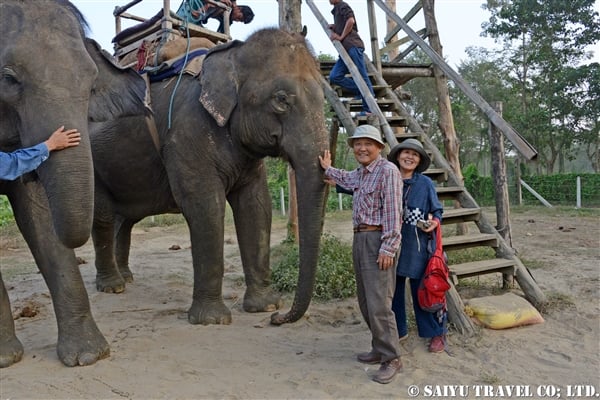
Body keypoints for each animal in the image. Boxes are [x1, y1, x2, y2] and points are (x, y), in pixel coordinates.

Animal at [91, 28, 330, 328]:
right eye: (281, 100)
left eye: (325, 98)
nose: (278, 318)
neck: (232, 54)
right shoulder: (186, 134)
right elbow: (206, 207)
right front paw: (212, 320)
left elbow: (256, 206)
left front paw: (263, 306)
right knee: (103, 216)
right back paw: (113, 286)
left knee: (125, 220)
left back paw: (126, 279)